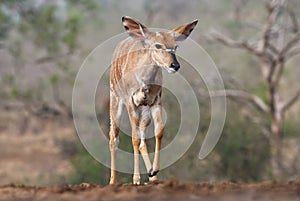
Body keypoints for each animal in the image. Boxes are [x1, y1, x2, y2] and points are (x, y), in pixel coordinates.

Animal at [109, 16, 198, 185]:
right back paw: (113, 182)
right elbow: (134, 138)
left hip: (144, 112)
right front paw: (136, 179)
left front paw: (154, 172)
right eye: (158, 45)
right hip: (116, 102)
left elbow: (159, 131)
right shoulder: (131, 103)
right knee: (114, 138)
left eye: (175, 46)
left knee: (143, 142)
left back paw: (152, 177)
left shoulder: (155, 101)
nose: (175, 65)